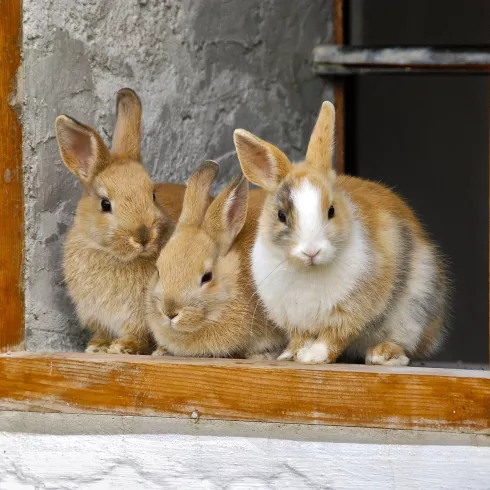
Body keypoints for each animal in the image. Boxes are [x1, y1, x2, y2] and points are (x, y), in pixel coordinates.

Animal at [55, 88, 186, 354]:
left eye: (152, 195)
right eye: (105, 204)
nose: (143, 236)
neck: (114, 256)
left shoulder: (140, 315)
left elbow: (137, 333)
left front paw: (123, 347)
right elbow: (102, 331)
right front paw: (97, 346)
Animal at [233, 101, 448, 366]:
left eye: (331, 210)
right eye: (281, 215)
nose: (311, 251)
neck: (309, 271)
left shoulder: (350, 310)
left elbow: (334, 336)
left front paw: (313, 357)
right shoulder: (293, 318)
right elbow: (300, 337)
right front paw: (290, 355)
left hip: (414, 310)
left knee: (406, 346)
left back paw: (382, 354)